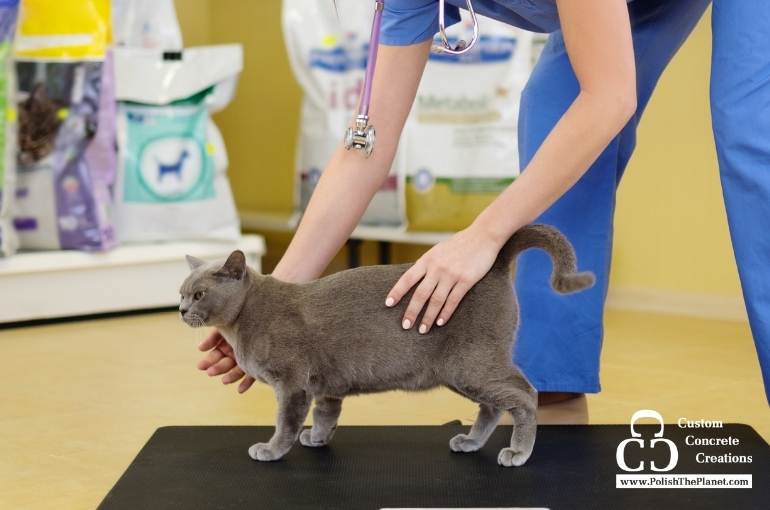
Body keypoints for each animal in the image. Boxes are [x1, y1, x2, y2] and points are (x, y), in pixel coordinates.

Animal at [180, 225, 592, 468]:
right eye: (182, 292)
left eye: (199, 294)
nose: (182, 310)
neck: (244, 320)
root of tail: (492, 266)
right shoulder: (325, 386)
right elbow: (327, 414)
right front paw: (317, 438)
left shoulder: (293, 383)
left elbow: (286, 422)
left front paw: (272, 449)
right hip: (465, 372)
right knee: (493, 405)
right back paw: (471, 441)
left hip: (471, 365)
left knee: (525, 394)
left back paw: (519, 451)